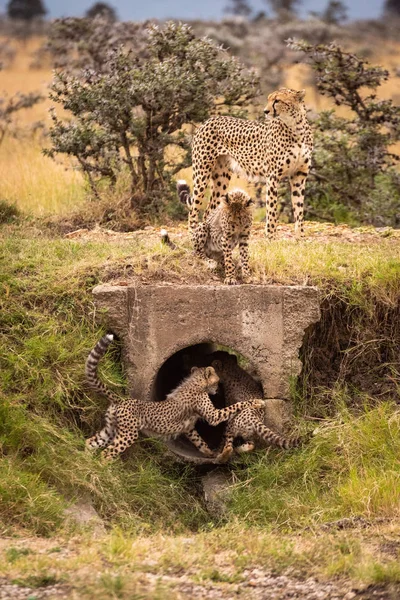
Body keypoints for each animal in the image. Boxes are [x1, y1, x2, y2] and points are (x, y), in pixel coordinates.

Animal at [188, 88, 312, 240]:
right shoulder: (273, 175)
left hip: (221, 179)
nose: (266, 111)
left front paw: (300, 236)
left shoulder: (299, 175)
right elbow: (272, 209)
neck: (296, 127)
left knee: (208, 210)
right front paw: (271, 237)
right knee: (193, 209)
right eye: (269, 99)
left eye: (277, 100)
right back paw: (194, 235)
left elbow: (299, 209)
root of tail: (209, 119)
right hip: (202, 173)